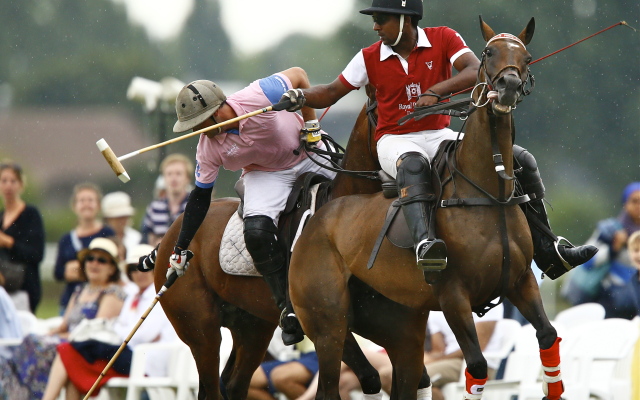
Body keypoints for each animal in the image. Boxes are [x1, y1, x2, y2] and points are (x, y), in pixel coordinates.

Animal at [153, 87, 384, 396]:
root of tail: (171, 237)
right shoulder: (321, 317)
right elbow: (367, 377)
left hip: (252, 326)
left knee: (234, 384)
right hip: (200, 329)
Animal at [288, 16, 564, 400]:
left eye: (526, 57)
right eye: (488, 52)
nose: (508, 85)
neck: (488, 193)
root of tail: (315, 222)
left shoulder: (520, 281)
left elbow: (548, 335)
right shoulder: (453, 295)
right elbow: (478, 365)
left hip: (397, 326)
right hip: (327, 322)